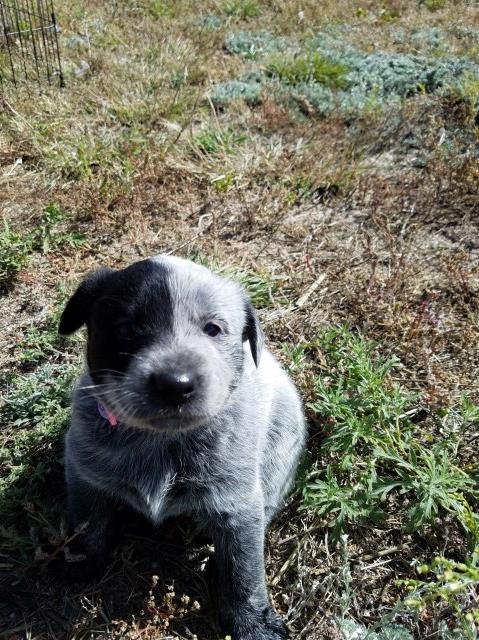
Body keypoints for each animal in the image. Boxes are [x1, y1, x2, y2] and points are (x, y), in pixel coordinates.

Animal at [59, 255, 308, 640]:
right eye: (126, 329)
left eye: (213, 329)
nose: (175, 384)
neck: (160, 441)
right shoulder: (84, 470)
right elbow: (89, 521)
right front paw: (80, 560)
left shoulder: (237, 504)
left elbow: (243, 569)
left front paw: (252, 623)